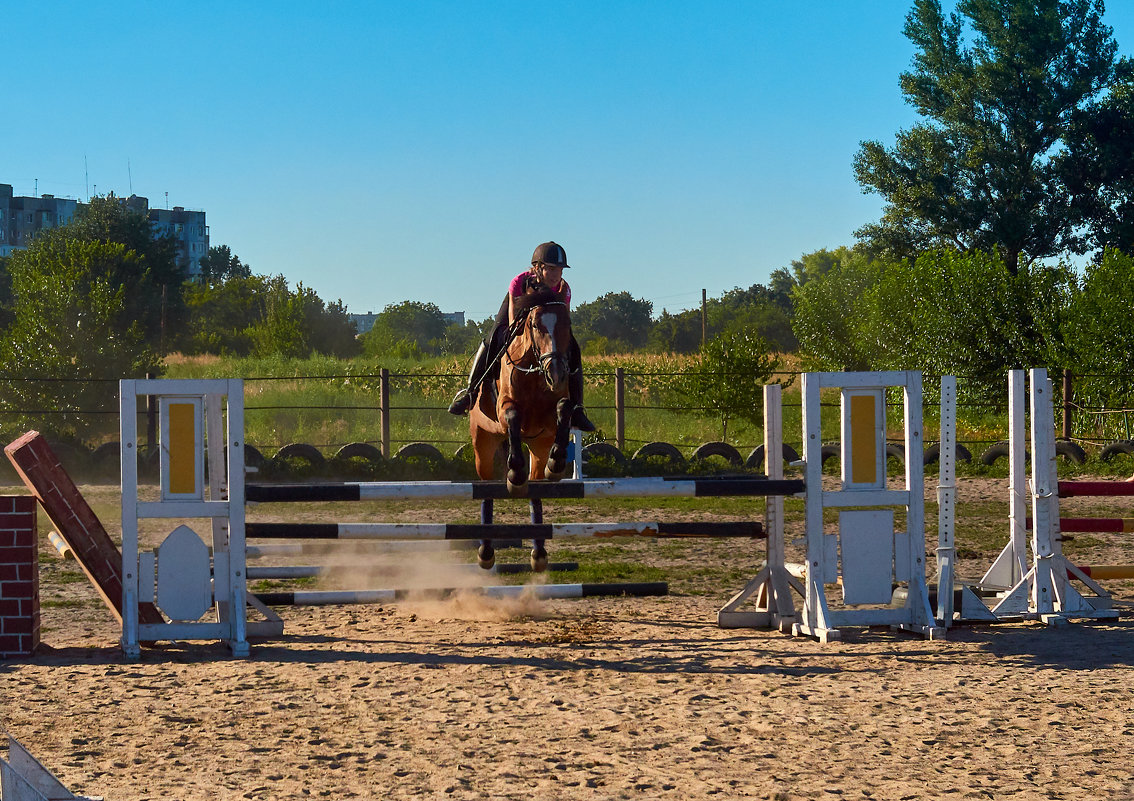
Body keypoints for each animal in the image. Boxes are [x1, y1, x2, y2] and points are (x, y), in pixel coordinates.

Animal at [467, 283, 576, 571]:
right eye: (536, 325)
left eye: (567, 324)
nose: (556, 373)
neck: (535, 371)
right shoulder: (505, 408)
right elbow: (513, 415)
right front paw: (515, 473)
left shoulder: (548, 423)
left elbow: (564, 409)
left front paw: (557, 462)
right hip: (483, 444)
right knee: (486, 491)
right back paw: (486, 552)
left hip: (537, 447)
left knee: (535, 490)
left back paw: (539, 554)